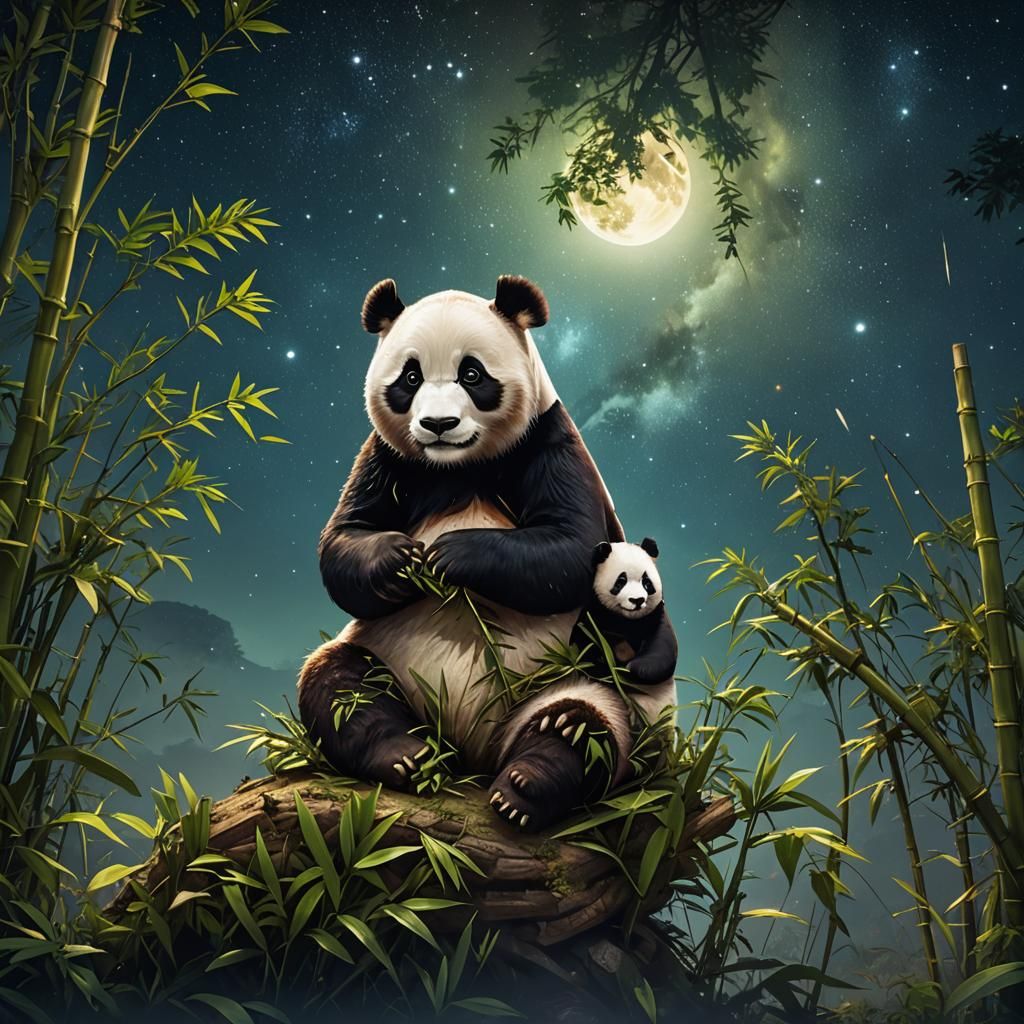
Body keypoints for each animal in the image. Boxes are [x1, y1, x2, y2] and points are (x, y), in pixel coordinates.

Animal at [297, 276, 675, 832]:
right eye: (410, 377)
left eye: (472, 373)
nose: (438, 423)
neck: (458, 466)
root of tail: (472, 750)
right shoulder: (387, 458)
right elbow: (345, 536)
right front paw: (401, 561)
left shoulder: (548, 439)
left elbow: (570, 548)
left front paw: (450, 555)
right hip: (385, 658)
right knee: (341, 688)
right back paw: (407, 757)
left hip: (579, 682)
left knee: (584, 729)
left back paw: (524, 786)